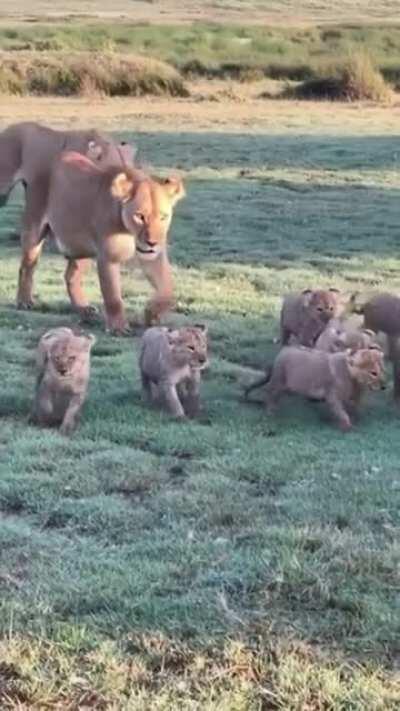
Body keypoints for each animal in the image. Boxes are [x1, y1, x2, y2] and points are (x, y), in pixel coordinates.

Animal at [37, 152, 185, 333]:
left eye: (163, 217)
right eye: (140, 216)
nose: (152, 243)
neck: (129, 232)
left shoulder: (155, 258)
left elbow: (168, 291)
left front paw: (151, 314)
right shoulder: (109, 258)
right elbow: (113, 296)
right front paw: (118, 327)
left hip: (83, 248)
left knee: (71, 276)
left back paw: (85, 310)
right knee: (27, 266)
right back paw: (26, 301)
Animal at [245, 345, 385, 432]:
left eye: (383, 370)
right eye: (373, 373)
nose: (384, 386)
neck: (355, 379)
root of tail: (283, 350)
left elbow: (353, 408)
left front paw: (357, 418)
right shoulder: (332, 396)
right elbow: (341, 412)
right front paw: (347, 426)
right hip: (279, 381)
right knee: (270, 394)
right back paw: (270, 412)